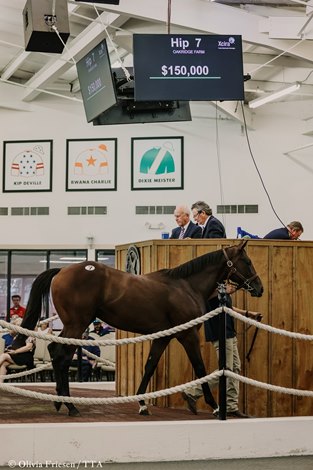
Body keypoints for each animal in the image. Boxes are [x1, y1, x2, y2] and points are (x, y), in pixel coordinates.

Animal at [13, 241, 262, 416]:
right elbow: (200, 368)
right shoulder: (187, 334)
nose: (259, 288)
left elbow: (149, 366)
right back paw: (71, 406)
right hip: (76, 325)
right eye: (247, 262)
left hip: (72, 326)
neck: (186, 286)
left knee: (56, 354)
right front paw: (214, 406)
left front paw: (142, 403)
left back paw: (60, 402)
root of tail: (61, 271)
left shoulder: (164, 336)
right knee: (61, 356)